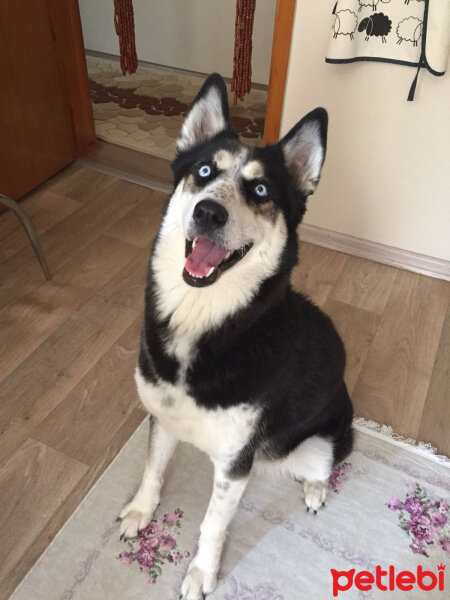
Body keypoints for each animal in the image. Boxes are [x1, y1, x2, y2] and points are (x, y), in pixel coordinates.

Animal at [120, 72, 356, 596]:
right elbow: (151, 468)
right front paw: (142, 510)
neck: (205, 322)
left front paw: (201, 573)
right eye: (205, 171)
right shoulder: (162, 418)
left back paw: (315, 487)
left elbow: (213, 523)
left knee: (326, 463)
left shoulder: (233, 465)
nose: (209, 213)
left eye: (262, 189)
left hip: (319, 442)